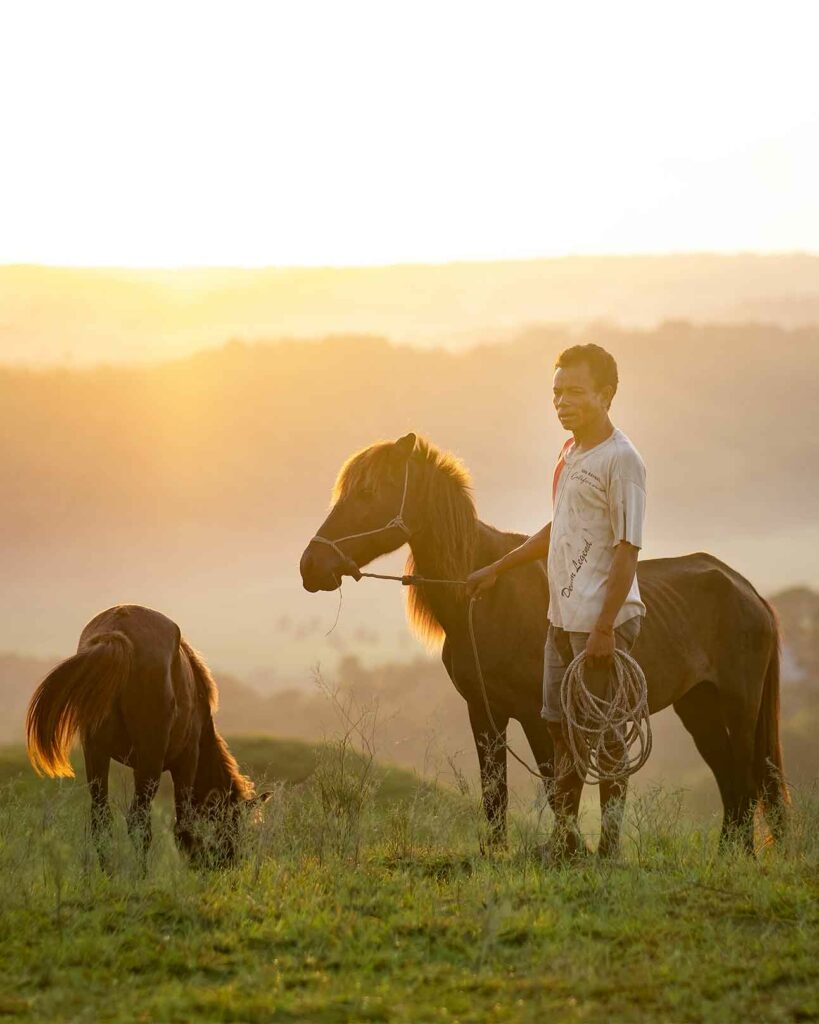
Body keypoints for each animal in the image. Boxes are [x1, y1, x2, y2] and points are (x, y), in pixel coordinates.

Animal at [25, 602, 261, 868]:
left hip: (96, 752)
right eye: (234, 826)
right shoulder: (187, 760)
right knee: (139, 822)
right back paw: (139, 874)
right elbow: (184, 828)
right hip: (150, 759)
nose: (228, 864)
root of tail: (117, 633)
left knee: (101, 819)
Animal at [300, 432, 786, 856]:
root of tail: (747, 590)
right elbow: (494, 789)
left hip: (738, 705)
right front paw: (497, 852)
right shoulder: (485, 711)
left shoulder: (538, 714)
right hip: (698, 706)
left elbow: (558, 785)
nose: (310, 566)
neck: (485, 599)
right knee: (729, 777)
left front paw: (570, 850)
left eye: (370, 491)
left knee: (744, 778)